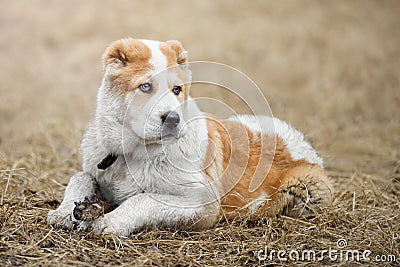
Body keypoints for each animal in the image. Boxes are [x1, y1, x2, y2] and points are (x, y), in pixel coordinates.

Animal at [47, 38, 332, 237]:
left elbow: (144, 199)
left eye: (177, 90)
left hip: (308, 191)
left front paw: (110, 222)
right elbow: (80, 177)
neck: (132, 153)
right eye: (145, 87)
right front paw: (65, 212)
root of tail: (300, 140)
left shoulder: (203, 204)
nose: (173, 119)